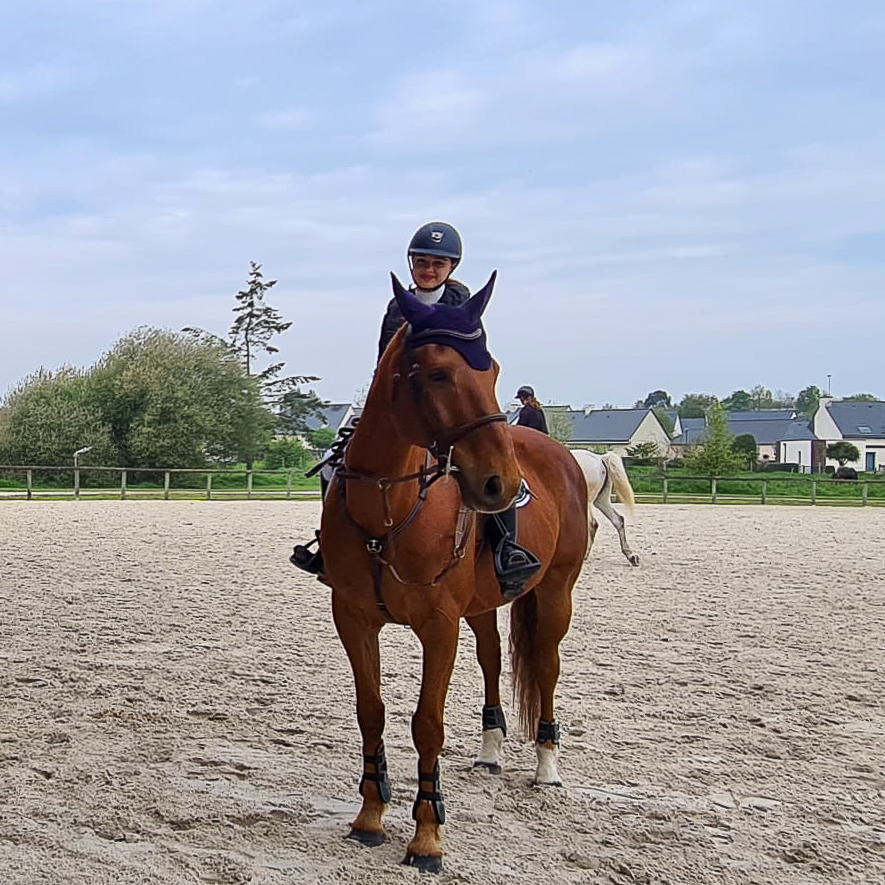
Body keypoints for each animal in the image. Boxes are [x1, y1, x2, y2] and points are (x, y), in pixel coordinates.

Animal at [320, 274, 588, 872]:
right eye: (439, 373)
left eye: (492, 370)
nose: (500, 484)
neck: (388, 512)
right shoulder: (353, 620)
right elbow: (370, 711)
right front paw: (370, 815)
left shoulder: (438, 627)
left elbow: (427, 724)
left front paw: (427, 836)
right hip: (483, 605)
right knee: (492, 658)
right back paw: (490, 751)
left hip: (556, 592)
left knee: (546, 665)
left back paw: (547, 765)